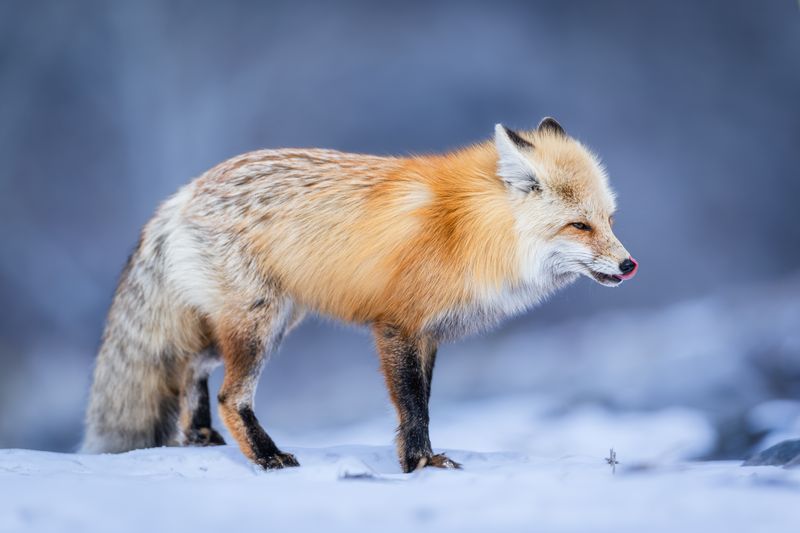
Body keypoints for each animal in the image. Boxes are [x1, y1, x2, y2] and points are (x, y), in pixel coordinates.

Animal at [82, 117, 638, 472]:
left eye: (610, 221)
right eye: (579, 225)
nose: (629, 265)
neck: (468, 231)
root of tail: (184, 192)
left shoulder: (427, 335)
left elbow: (423, 405)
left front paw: (419, 458)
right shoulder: (397, 326)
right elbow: (413, 408)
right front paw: (420, 464)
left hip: (264, 321)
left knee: (188, 367)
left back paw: (198, 436)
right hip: (259, 325)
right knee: (228, 394)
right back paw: (266, 456)